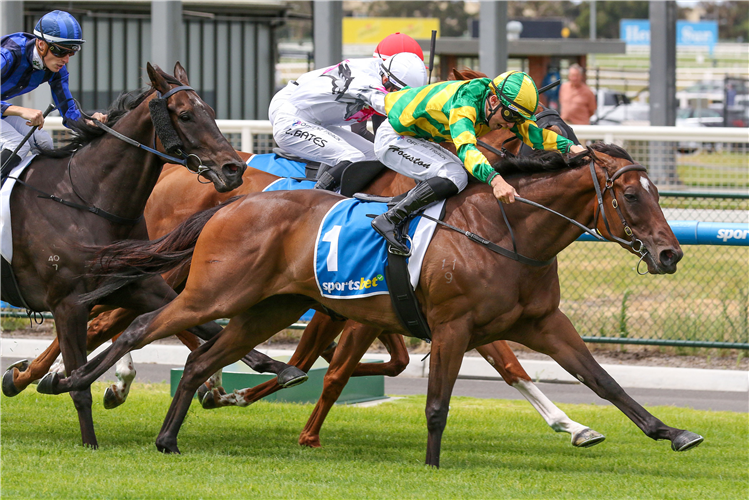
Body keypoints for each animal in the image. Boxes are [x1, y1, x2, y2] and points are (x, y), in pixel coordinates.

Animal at [39, 143, 700, 466]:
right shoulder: (453, 324)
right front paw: (432, 465)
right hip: (212, 294)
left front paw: (670, 432)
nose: (670, 253)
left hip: (268, 308)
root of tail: (232, 203)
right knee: (139, 327)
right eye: (632, 197)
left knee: (201, 360)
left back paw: (167, 438)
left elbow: (603, 382)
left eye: (655, 193)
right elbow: (435, 402)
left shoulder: (541, 322)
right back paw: (71, 381)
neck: (508, 230)